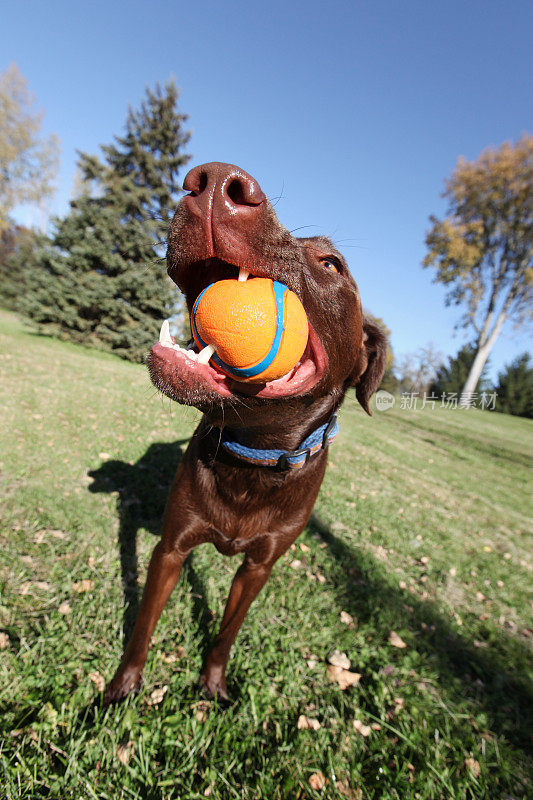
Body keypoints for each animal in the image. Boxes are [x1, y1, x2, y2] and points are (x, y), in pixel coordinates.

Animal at [103, 164, 386, 708]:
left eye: (332, 264)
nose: (214, 182)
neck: (253, 454)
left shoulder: (259, 567)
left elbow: (227, 633)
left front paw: (213, 684)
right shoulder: (170, 549)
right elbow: (143, 625)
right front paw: (122, 686)